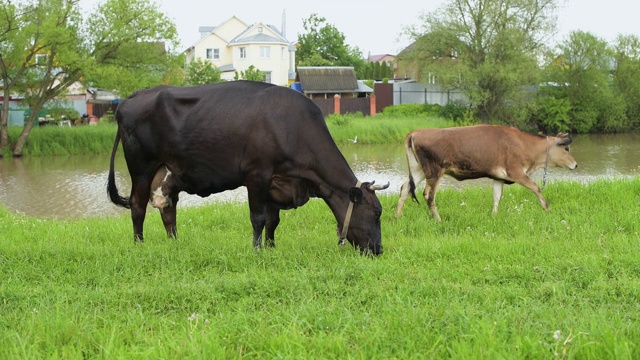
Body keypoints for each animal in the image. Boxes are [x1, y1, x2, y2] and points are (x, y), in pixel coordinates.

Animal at [107, 81, 388, 256]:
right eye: (376, 213)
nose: (378, 250)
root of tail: (128, 100)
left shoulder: (277, 181)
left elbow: (273, 221)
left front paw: (272, 247)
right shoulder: (257, 174)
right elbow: (258, 218)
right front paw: (257, 250)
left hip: (168, 172)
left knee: (168, 207)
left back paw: (174, 243)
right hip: (141, 168)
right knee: (138, 207)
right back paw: (139, 244)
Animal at [398, 124, 576, 221]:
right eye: (566, 148)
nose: (575, 164)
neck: (524, 144)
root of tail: (416, 132)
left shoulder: (498, 177)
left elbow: (497, 197)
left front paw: (494, 216)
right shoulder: (516, 172)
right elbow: (535, 187)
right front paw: (547, 208)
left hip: (419, 170)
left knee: (405, 188)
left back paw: (397, 217)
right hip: (434, 171)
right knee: (429, 195)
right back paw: (439, 220)